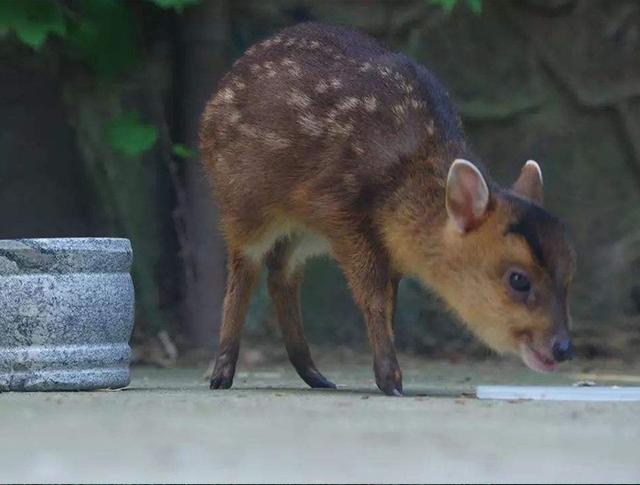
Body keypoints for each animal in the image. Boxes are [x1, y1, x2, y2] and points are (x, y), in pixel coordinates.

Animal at [199, 20, 576, 396]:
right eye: (518, 279)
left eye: (569, 272)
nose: (563, 347)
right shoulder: (340, 211)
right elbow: (374, 296)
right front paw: (391, 379)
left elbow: (388, 301)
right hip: (243, 201)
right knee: (245, 267)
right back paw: (222, 374)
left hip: (303, 231)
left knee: (282, 271)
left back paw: (315, 375)